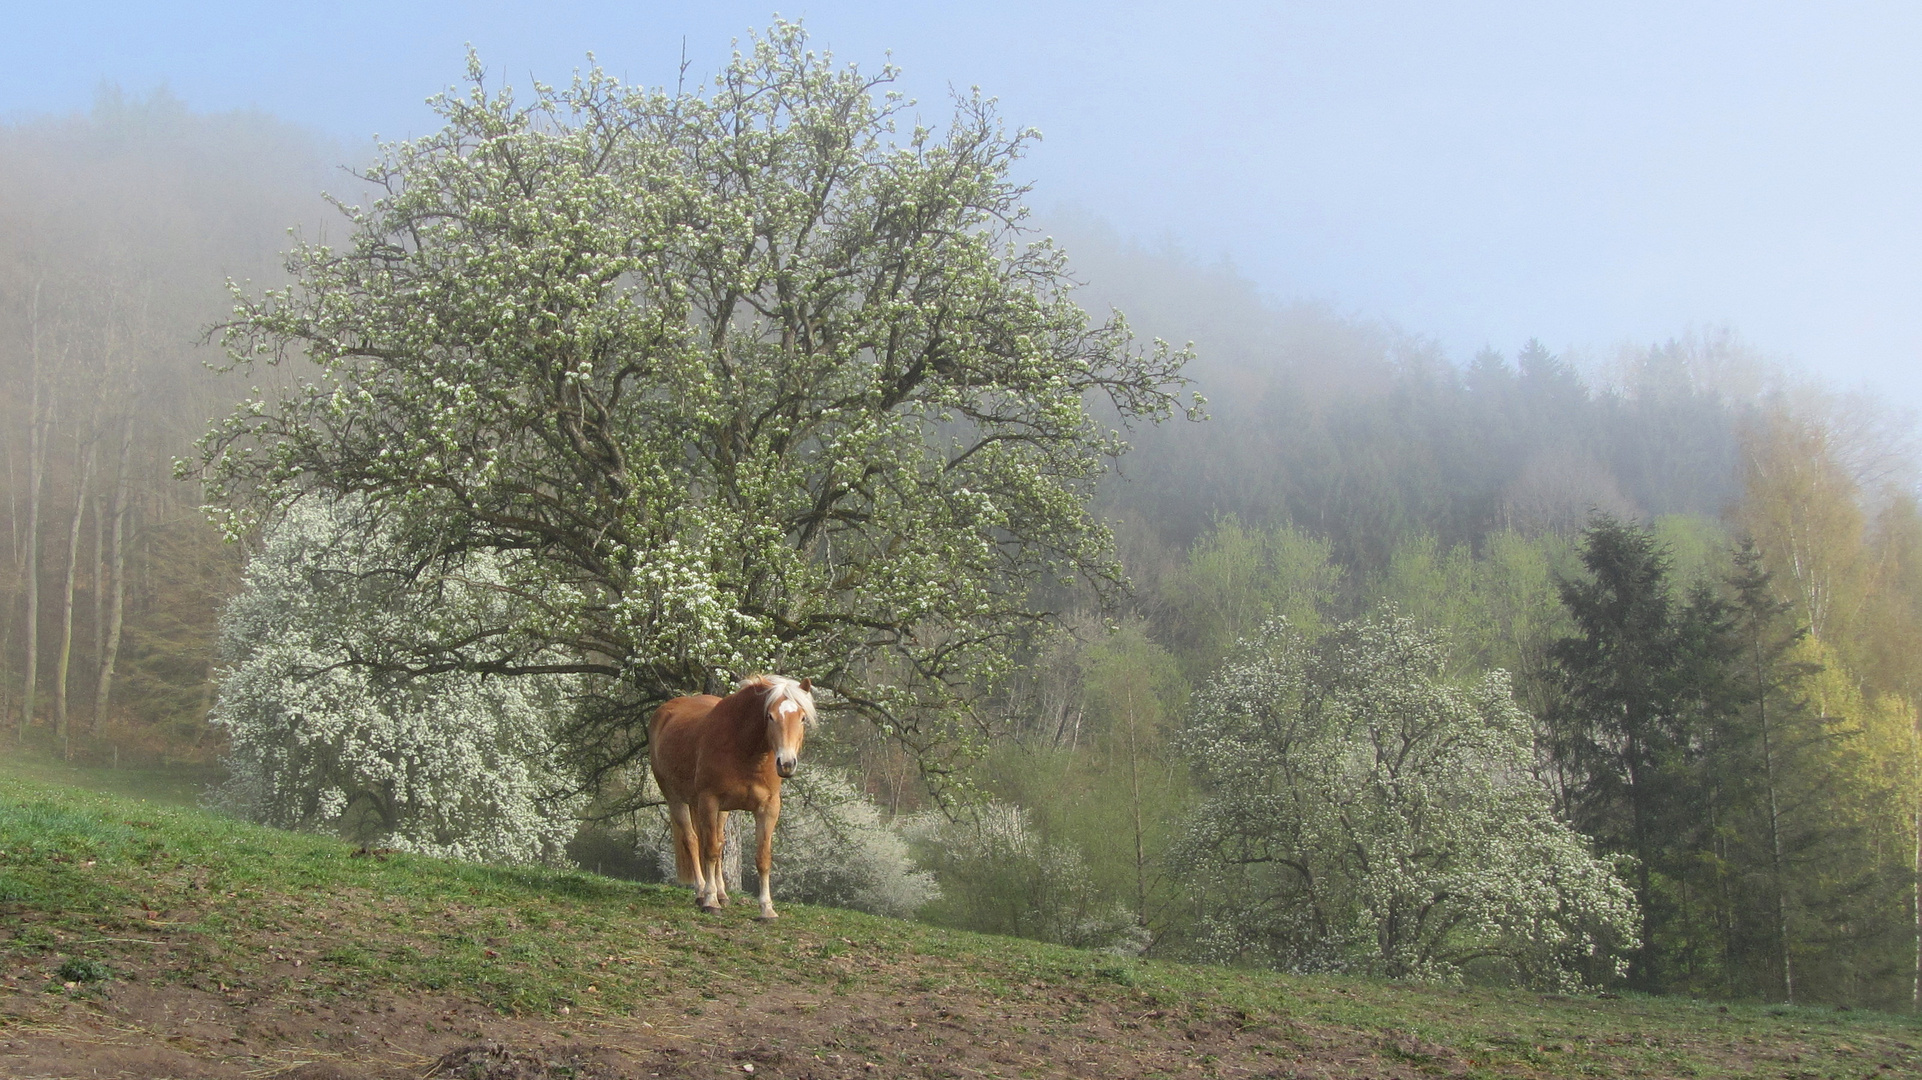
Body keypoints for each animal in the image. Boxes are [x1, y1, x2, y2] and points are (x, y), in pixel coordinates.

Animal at [653, 672, 818, 914]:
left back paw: (722, 894)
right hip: (676, 799)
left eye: (802, 717)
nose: (786, 764)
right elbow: (710, 850)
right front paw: (710, 901)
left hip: (721, 810)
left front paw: (767, 909)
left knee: (719, 842)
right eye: (770, 716)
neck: (744, 750)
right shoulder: (709, 801)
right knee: (692, 840)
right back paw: (702, 892)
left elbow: (762, 857)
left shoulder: (768, 807)